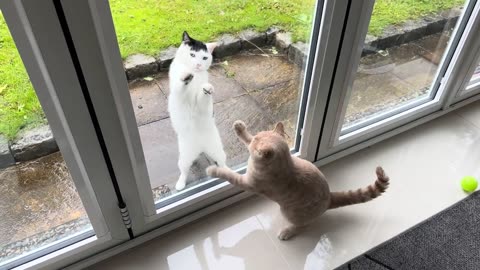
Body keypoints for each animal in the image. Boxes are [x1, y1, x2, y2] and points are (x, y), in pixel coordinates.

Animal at [167, 32, 227, 190]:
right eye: (192, 54)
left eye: (204, 58)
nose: (198, 65)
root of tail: (201, 148)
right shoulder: (179, 94)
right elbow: (181, 86)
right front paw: (186, 77)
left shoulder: (201, 103)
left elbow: (202, 95)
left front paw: (207, 88)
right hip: (184, 158)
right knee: (184, 171)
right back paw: (180, 185)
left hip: (218, 150)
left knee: (222, 163)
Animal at [206, 120, 390, 240]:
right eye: (256, 136)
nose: (254, 144)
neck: (286, 162)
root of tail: (330, 197)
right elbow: (246, 138)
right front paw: (240, 128)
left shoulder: (248, 183)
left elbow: (229, 175)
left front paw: (213, 170)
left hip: (289, 212)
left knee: (303, 226)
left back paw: (287, 232)